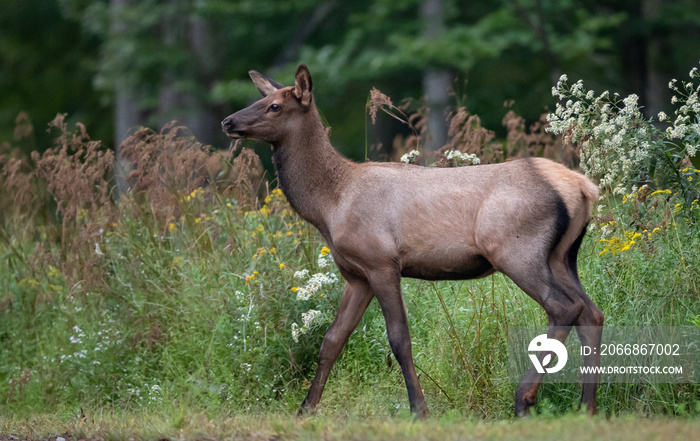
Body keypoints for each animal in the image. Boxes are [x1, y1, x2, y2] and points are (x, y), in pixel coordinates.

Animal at [221, 64, 604, 416]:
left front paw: (419, 408)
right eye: (260, 98)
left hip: (515, 249)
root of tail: (585, 187)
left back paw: (524, 398)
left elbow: (399, 338)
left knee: (564, 307)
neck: (330, 206)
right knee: (592, 312)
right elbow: (332, 339)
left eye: (274, 106)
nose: (227, 121)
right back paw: (586, 407)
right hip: (561, 256)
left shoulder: (381, 262)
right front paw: (305, 409)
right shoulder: (356, 275)